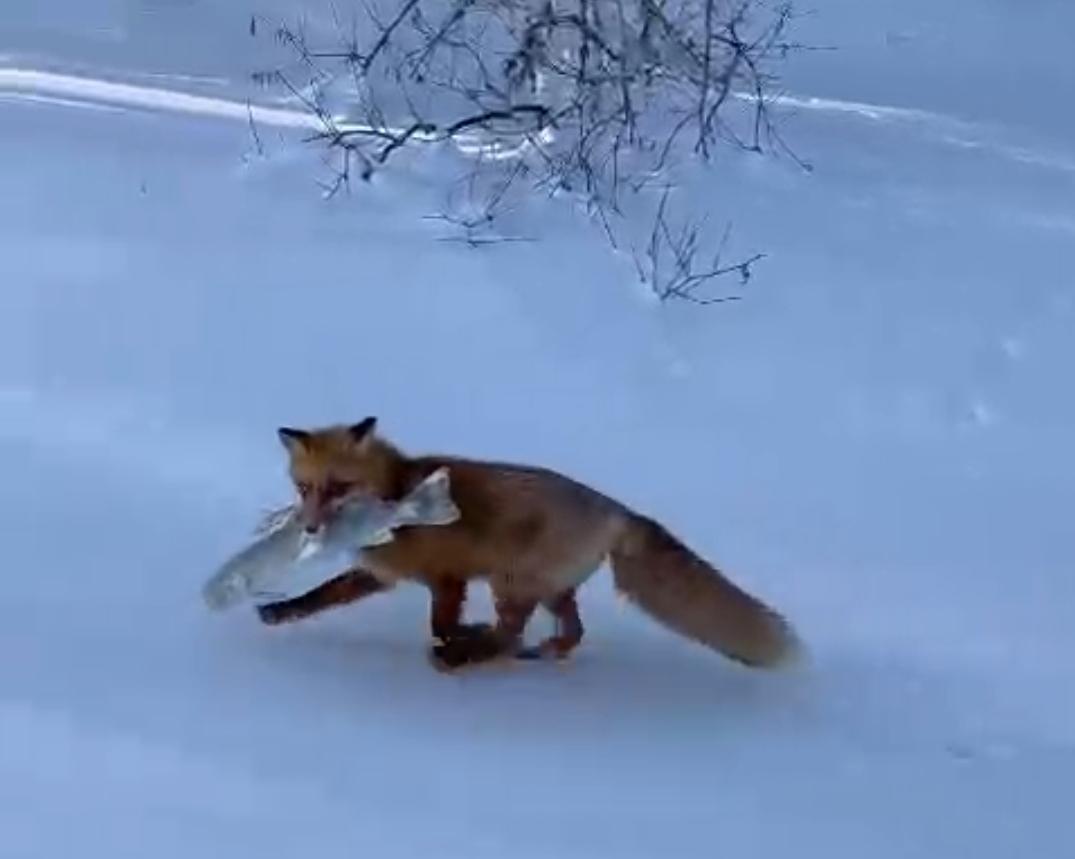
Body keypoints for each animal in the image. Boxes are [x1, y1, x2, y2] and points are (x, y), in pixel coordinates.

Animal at [258, 417, 799, 670]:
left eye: (339, 487)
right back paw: (543, 651)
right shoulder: (381, 574)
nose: (310, 527)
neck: (396, 490)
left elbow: (440, 622)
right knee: (570, 631)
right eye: (305, 488)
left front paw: (456, 637)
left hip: (510, 582)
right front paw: (278, 613)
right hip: (546, 588)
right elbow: (318, 597)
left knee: (511, 634)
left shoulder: (448, 577)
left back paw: (465, 656)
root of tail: (617, 510)